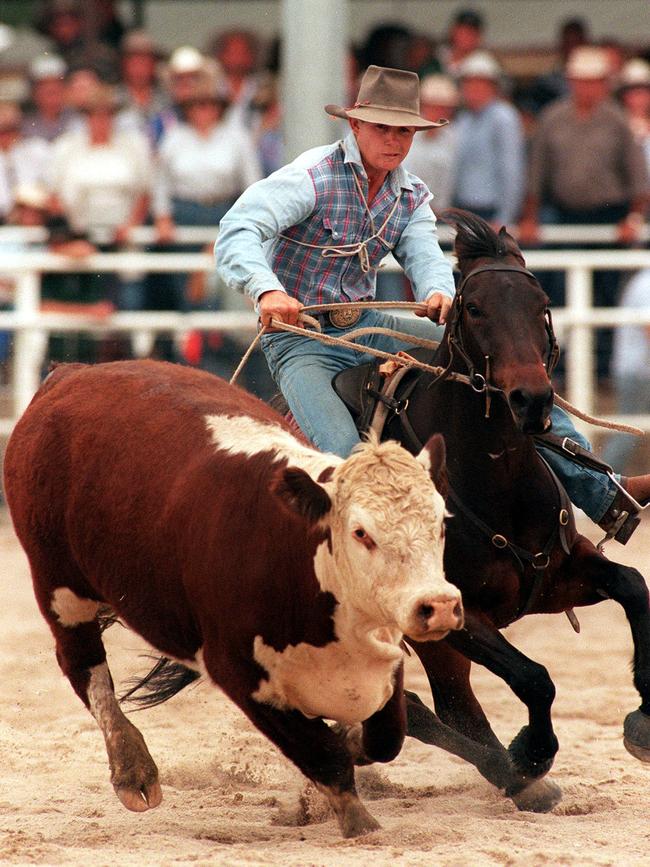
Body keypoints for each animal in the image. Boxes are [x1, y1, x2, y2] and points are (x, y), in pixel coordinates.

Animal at [370, 210, 650, 812]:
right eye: (474, 308)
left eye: (541, 302)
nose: (532, 398)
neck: (494, 482)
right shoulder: (457, 615)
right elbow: (535, 677)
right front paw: (534, 752)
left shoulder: (561, 577)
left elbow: (635, 585)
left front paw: (643, 719)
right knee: (426, 711)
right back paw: (517, 774)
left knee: (453, 708)